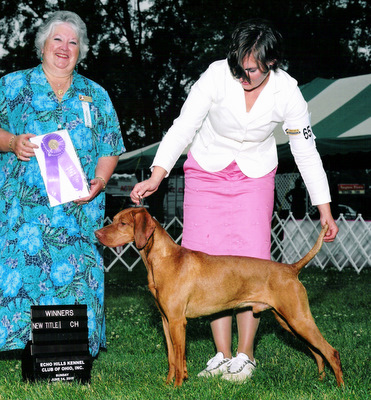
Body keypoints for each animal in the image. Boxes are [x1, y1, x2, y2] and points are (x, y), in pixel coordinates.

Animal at [94, 208, 344, 386]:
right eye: (113, 219)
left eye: (123, 223)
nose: (96, 234)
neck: (164, 260)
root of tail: (291, 268)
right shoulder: (166, 321)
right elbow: (173, 358)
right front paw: (169, 384)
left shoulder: (177, 321)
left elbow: (179, 355)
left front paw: (177, 387)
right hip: (288, 322)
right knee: (317, 352)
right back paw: (320, 379)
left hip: (298, 319)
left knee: (331, 351)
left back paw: (340, 386)